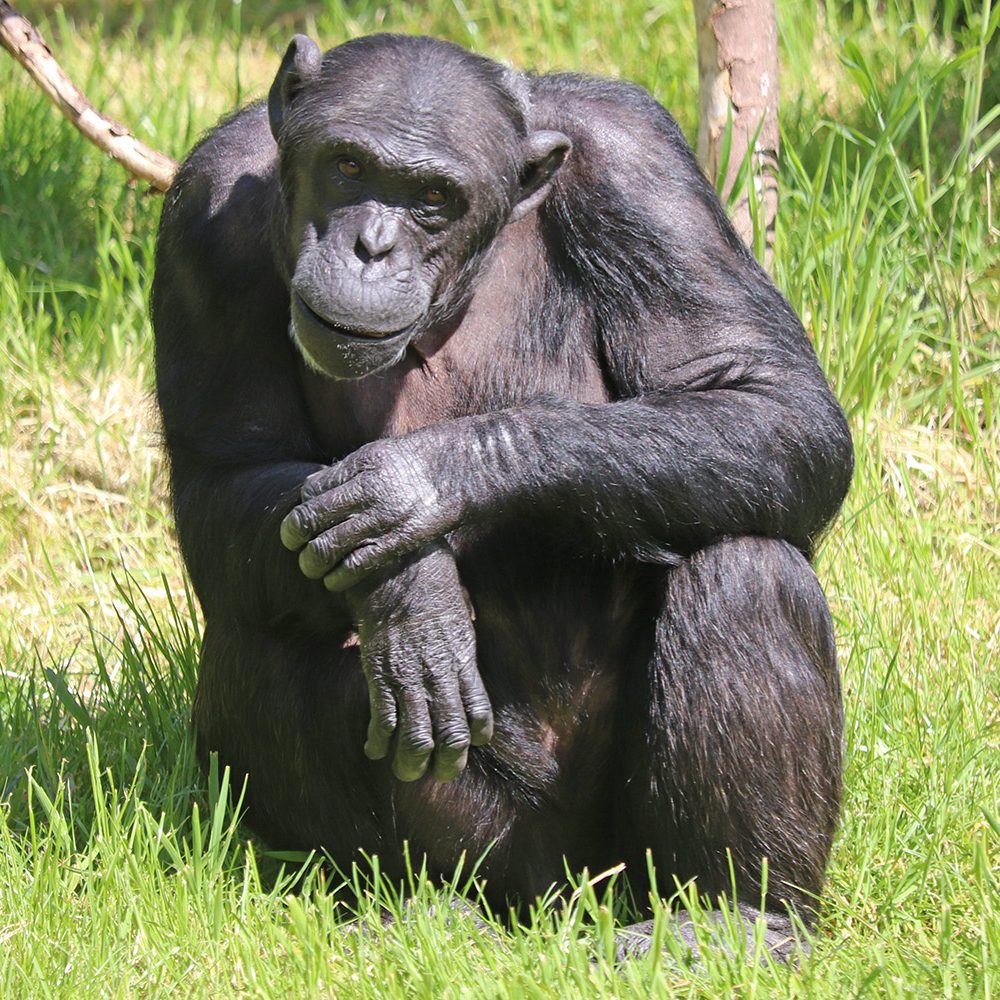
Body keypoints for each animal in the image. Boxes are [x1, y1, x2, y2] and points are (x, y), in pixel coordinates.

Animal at [152, 33, 856, 960]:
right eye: (347, 165)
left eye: (433, 199)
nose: (372, 245)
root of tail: (558, 898)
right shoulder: (205, 217)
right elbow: (226, 472)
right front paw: (410, 594)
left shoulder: (643, 166)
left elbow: (762, 393)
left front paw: (416, 486)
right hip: (497, 846)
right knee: (272, 630)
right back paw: (419, 906)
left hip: (619, 859)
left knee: (746, 563)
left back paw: (738, 915)